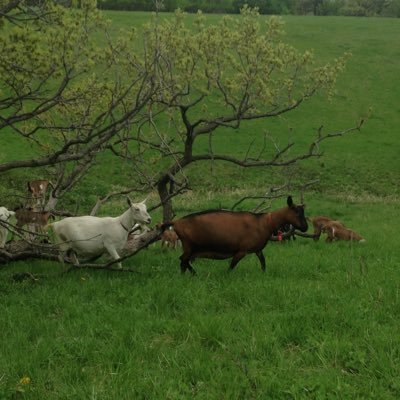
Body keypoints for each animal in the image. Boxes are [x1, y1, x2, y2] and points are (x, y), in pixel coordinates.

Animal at [161, 197, 308, 276]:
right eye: (296, 211)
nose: (305, 227)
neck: (264, 222)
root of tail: (176, 222)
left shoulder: (257, 250)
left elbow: (263, 262)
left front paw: (264, 274)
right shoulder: (241, 251)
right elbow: (231, 266)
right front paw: (227, 276)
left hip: (191, 249)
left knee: (184, 261)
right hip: (190, 247)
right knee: (183, 260)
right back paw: (192, 274)